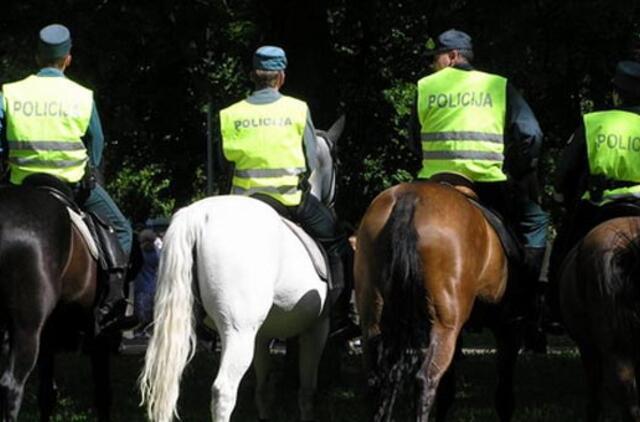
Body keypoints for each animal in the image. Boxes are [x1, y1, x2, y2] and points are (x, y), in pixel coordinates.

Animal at [141, 118, 344, 422]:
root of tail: (198, 216)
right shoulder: (317, 327)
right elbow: (307, 390)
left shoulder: (262, 335)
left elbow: (264, 389)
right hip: (238, 332)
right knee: (223, 391)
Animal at [356, 181, 524, 422]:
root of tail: (410, 198)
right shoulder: (508, 327)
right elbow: (504, 395)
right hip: (445, 326)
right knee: (425, 379)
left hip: (374, 319)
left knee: (378, 380)